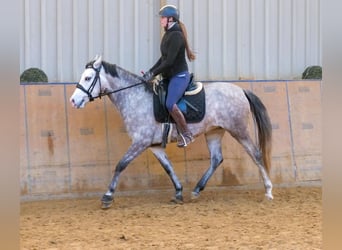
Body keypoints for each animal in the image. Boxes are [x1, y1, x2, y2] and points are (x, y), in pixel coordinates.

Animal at [69, 56, 272, 209]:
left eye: (87, 78)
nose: (73, 101)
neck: (135, 98)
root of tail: (241, 90)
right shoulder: (154, 146)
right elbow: (168, 167)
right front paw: (179, 192)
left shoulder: (140, 142)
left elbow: (121, 165)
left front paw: (107, 196)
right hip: (214, 132)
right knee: (216, 159)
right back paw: (196, 190)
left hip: (239, 130)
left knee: (256, 154)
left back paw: (268, 192)